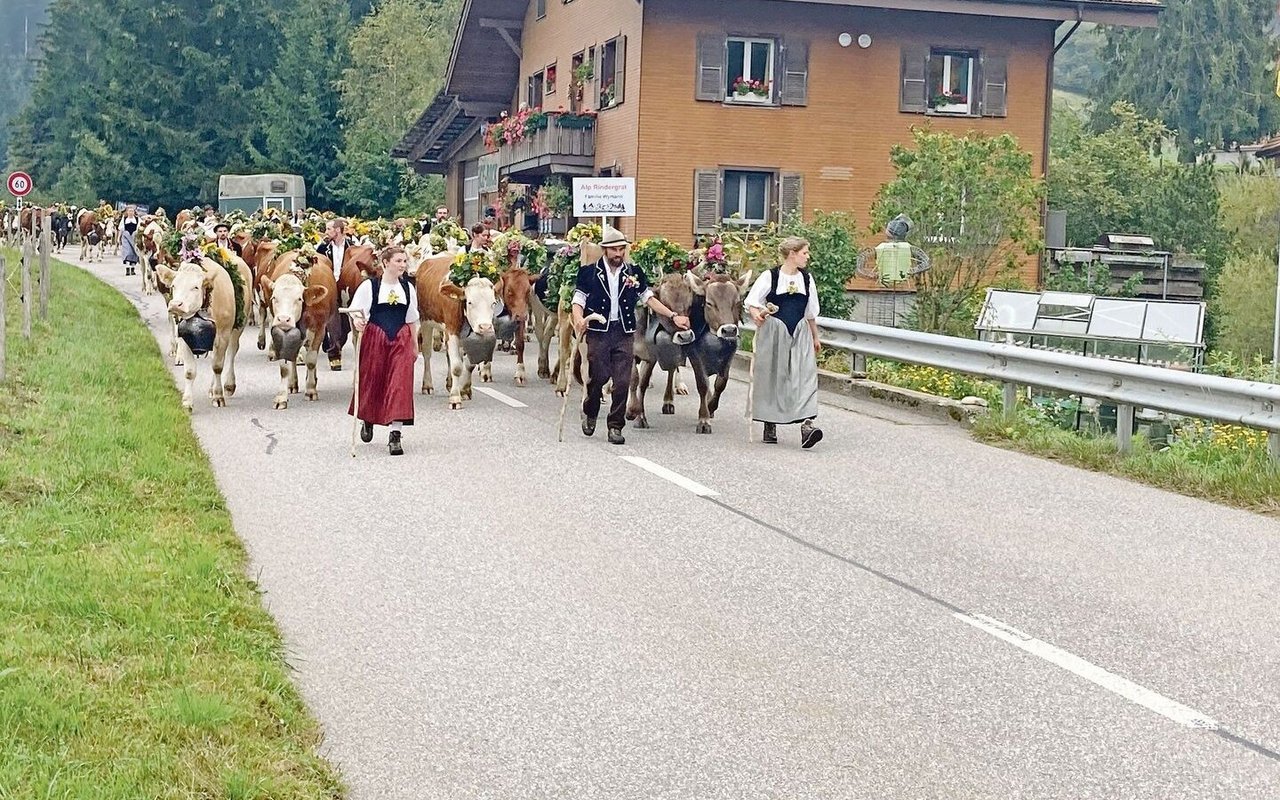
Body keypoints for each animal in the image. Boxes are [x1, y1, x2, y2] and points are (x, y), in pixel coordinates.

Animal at [258, 249, 335, 409]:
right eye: (274, 298)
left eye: (299, 299)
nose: (283, 319)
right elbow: (284, 366)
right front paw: (281, 397)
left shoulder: (319, 329)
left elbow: (311, 360)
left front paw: (311, 391)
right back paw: (293, 384)